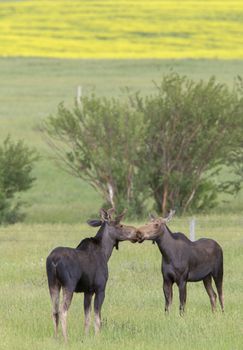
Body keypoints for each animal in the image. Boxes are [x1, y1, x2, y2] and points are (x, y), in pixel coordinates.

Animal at [45, 208, 137, 342]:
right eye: (120, 225)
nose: (137, 233)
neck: (105, 253)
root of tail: (54, 261)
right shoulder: (100, 289)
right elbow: (97, 317)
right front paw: (98, 337)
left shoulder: (88, 291)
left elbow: (87, 317)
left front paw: (86, 336)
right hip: (68, 285)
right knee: (63, 310)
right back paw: (66, 338)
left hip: (53, 284)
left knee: (54, 311)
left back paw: (56, 338)